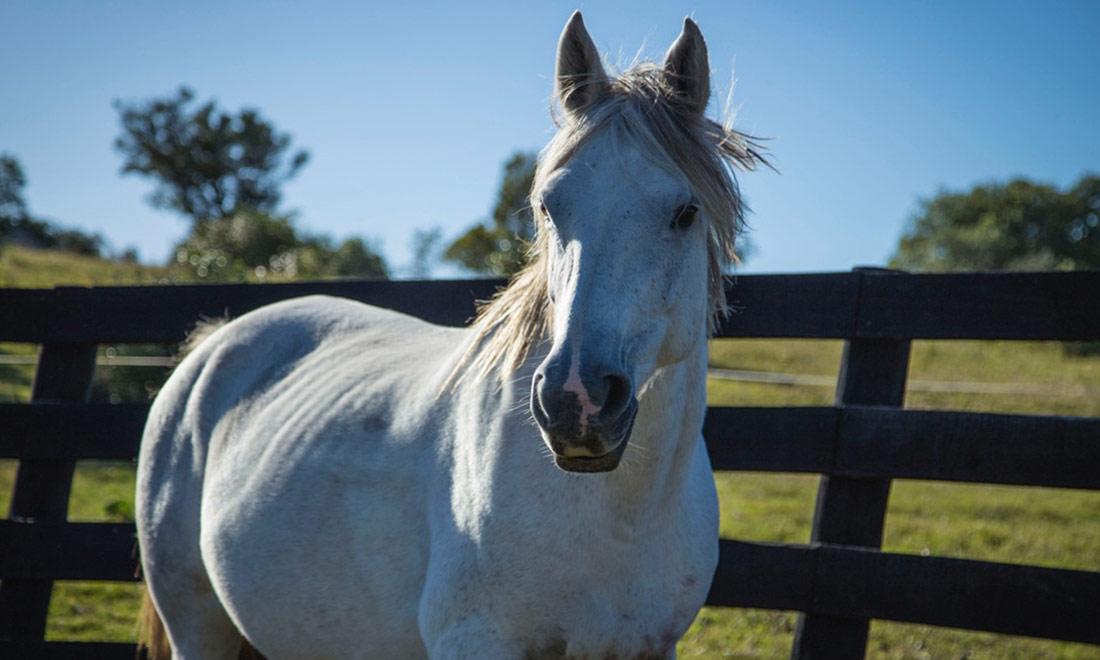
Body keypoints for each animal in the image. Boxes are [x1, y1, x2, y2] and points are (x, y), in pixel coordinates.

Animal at [137, 11, 765, 660]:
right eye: (548, 207)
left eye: (686, 212)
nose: (576, 402)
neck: (620, 518)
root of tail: (214, 345)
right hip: (195, 624)